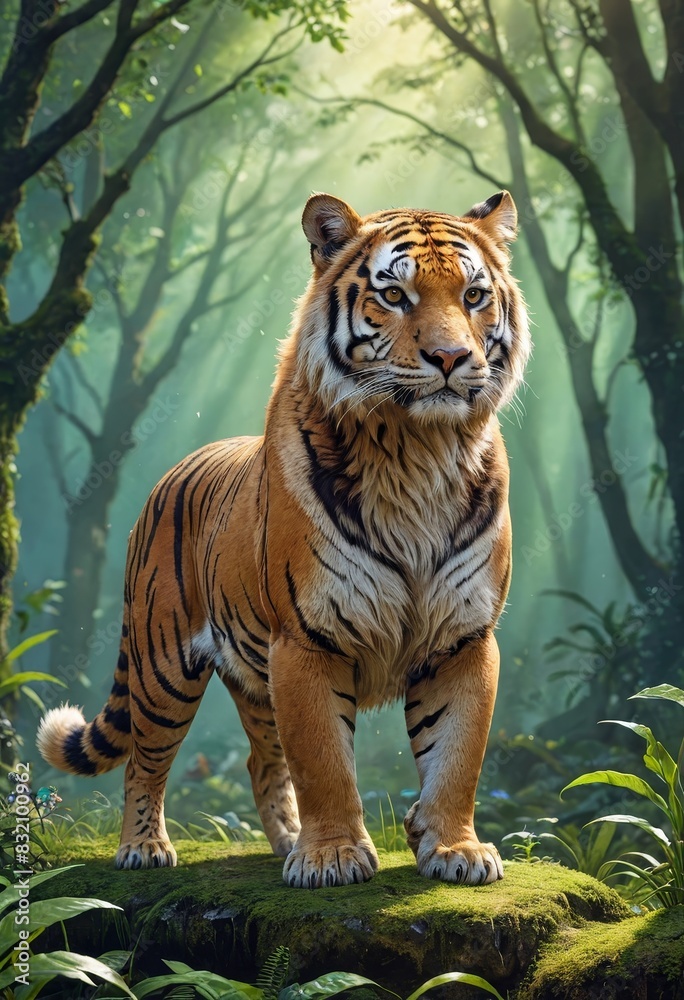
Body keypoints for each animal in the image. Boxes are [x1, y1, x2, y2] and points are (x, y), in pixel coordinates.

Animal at [37, 190, 530, 888]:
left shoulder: (464, 637)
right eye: (396, 295)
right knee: (145, 760)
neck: (418, 451)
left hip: (253, 678)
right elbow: (324, 761)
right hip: (163, 666)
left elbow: (456, 756)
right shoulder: (307, 638)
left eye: (473, 295)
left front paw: (453, 848)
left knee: (262, 761)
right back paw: (145, 848)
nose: (452, 358)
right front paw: (332, 857)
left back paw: (286, 840)